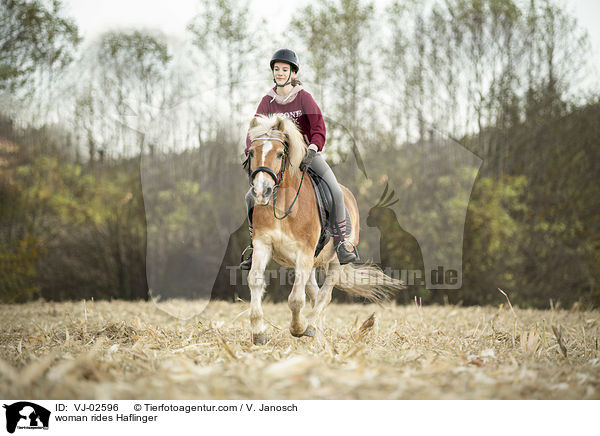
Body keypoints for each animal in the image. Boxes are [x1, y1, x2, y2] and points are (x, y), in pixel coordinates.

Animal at [244, 114, 404, 346]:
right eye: (251, 152)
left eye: (280, 153)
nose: (261, 191)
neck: (283, 204)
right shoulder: (263, 244)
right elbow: (255, 280)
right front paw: (258, 332)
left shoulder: (304, 252)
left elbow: (295, 299)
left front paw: (298, 328)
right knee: (314, 292)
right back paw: (315, 328)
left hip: (334, 259)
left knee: (325, 294)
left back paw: (311, 326)